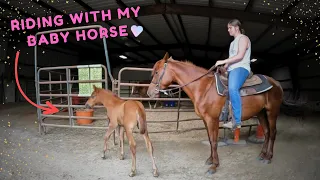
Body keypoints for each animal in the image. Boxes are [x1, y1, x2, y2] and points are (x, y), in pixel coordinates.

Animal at [146, 52, 284, 175]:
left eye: (157, 72)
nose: (149, 93)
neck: (204, 87)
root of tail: (277, 83)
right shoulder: (205, 120)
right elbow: (209, 139)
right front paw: (210, 160)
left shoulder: (213, 119)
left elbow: (213, 141)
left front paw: (214, 166)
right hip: (261, 113)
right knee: (266, 132)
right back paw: (262, 154)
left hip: (272, 113)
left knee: (272, 133)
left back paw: (268, 157)